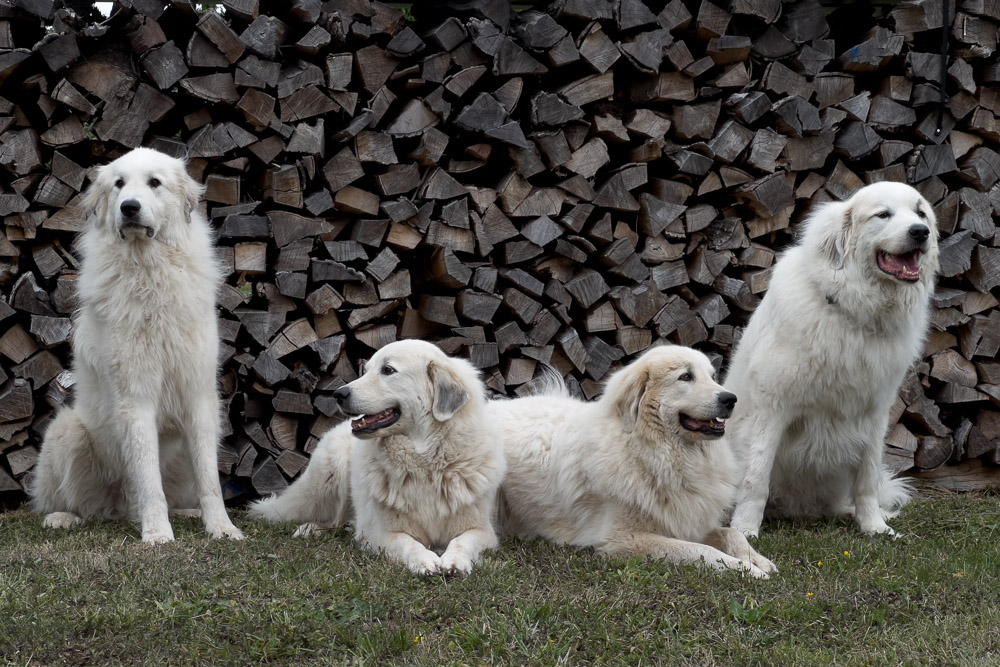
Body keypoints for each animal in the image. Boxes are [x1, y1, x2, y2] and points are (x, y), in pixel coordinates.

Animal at [27, 146, 244, 544]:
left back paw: (187, 513)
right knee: (77, 505)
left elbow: (210, 479)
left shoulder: (198, 396)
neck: (148, 269)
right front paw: (157, 534)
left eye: (154, 182)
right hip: (65, 431)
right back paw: (64, 517)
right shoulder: (135, 397)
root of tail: (119, 510)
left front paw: (221, 527)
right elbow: (147, 477)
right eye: (119, 184)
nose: (129, 207)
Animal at [246, 342, 504, 576]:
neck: (425, 462)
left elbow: (461, 541)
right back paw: (310, 529)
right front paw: (424, 560)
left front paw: (454, 561)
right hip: (334, 469)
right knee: (332, 519)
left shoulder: (482, 531)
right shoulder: (384, 534)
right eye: (367, 369)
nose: (338, 394)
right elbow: (410, 543)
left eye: (388, 370)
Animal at [488, 344, 776, 580]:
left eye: (713, 377)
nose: (730, 399)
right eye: (686, 377)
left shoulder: (686, 519)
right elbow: (702, 551)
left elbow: (731, 534)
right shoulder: (625, 538)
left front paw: (758, 560)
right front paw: (745, 569)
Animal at [728, 181, 936, 536]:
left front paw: (874, 527)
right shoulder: (771, 407)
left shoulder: (875, 412)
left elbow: (867, 479)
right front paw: (744, 532)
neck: (851, 311)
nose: (920, 232)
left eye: (920, 213)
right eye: (883, 214)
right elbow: (755, 478)